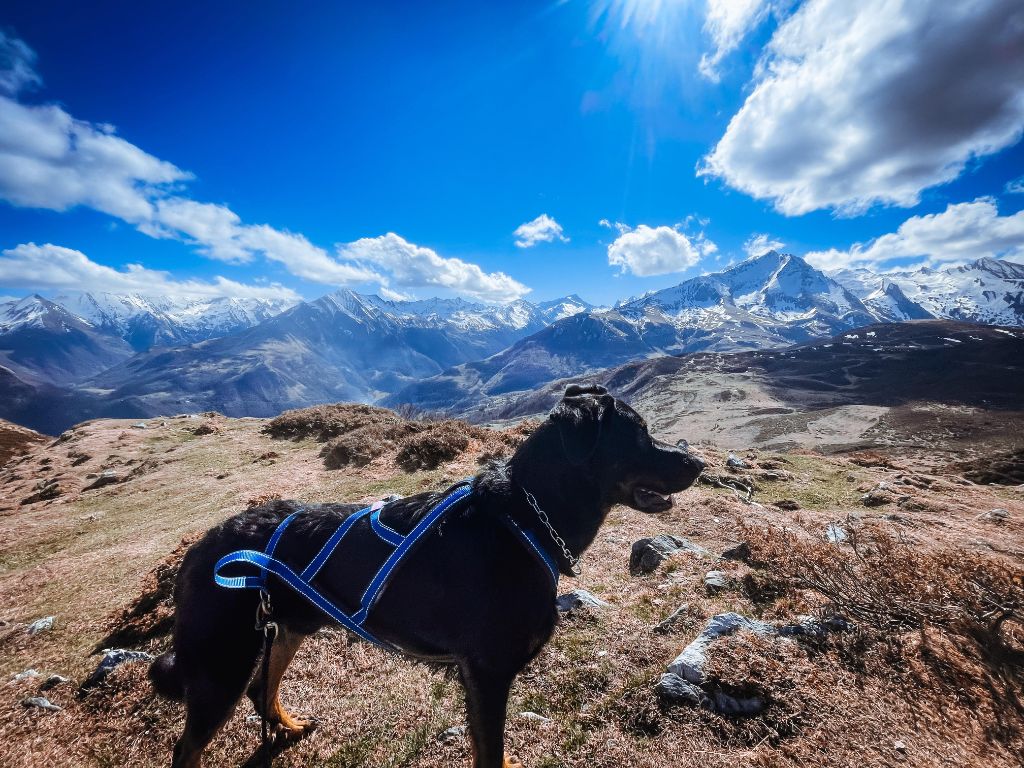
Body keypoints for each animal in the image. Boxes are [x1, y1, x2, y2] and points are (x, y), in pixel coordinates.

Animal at [151, 387, 704, 768]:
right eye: (639, 434)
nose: (696, 461)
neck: (524, 518)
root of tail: (199, 548)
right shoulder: (487, 671)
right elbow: (488, 749)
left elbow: (490, 748)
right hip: (221, 664)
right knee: (188, 747)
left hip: (283, 629)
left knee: (261, 689)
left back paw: (287, 727)